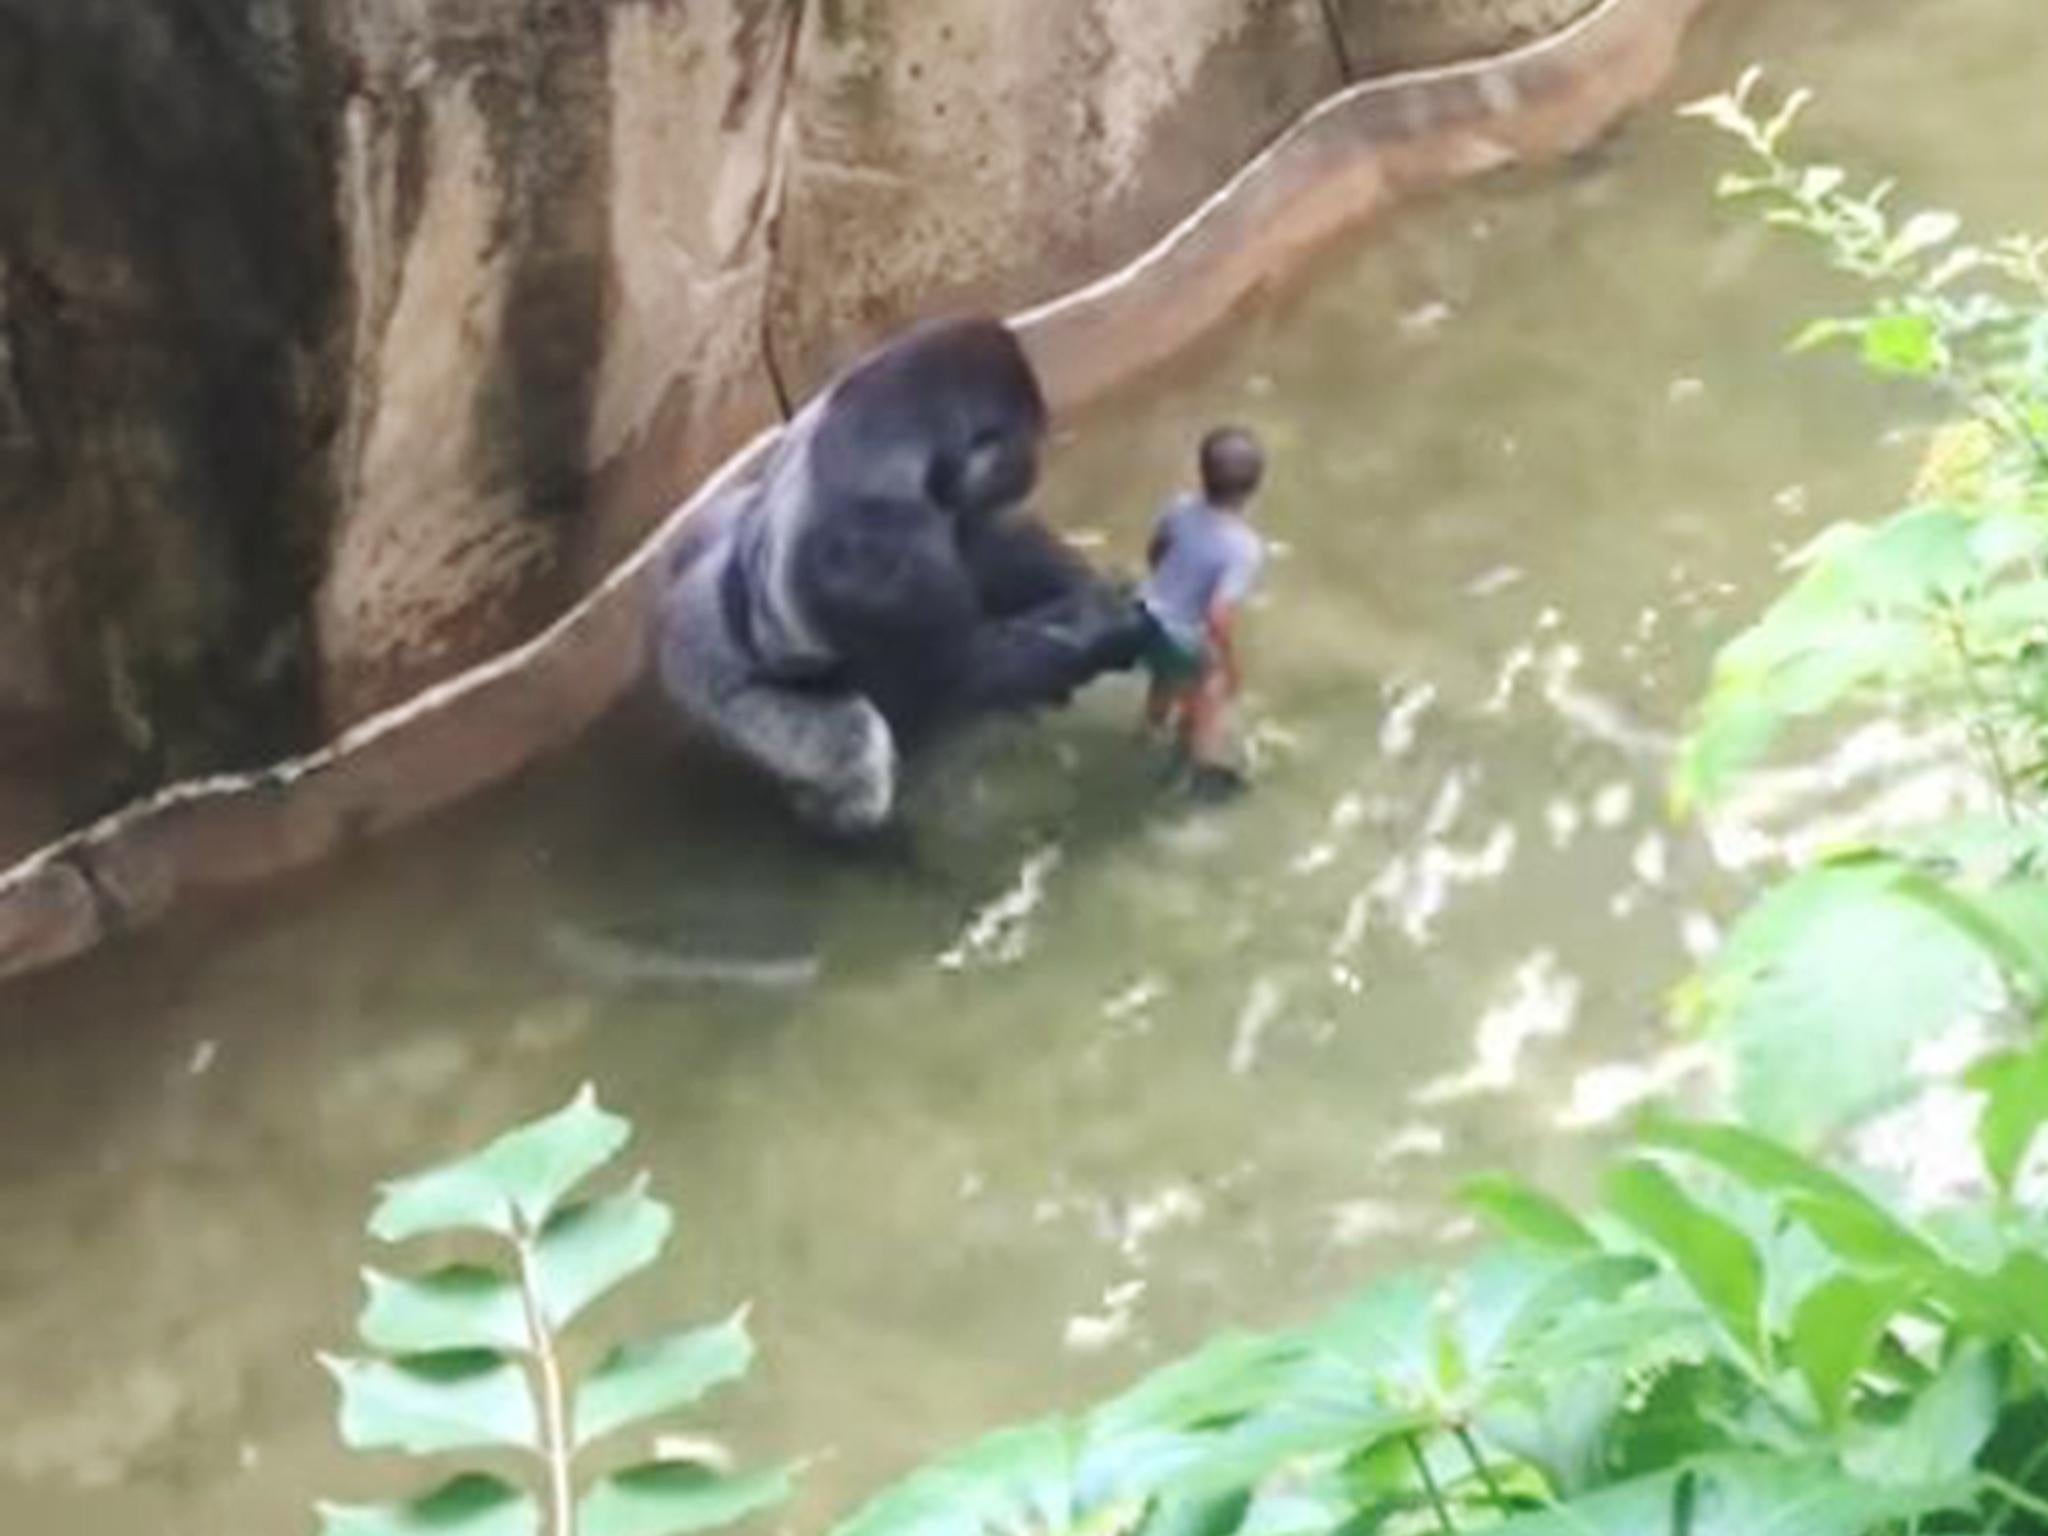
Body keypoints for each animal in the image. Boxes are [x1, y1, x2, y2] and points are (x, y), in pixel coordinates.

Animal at [651, 317, 1146, 835]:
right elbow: (963, 674)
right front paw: (1110, 627)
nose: (1033, 465)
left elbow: (990, 542)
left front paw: (1094, 591)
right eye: (1026, 439)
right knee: (856, 744)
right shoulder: (877, 557)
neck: (880, 441)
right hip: (718, 703)